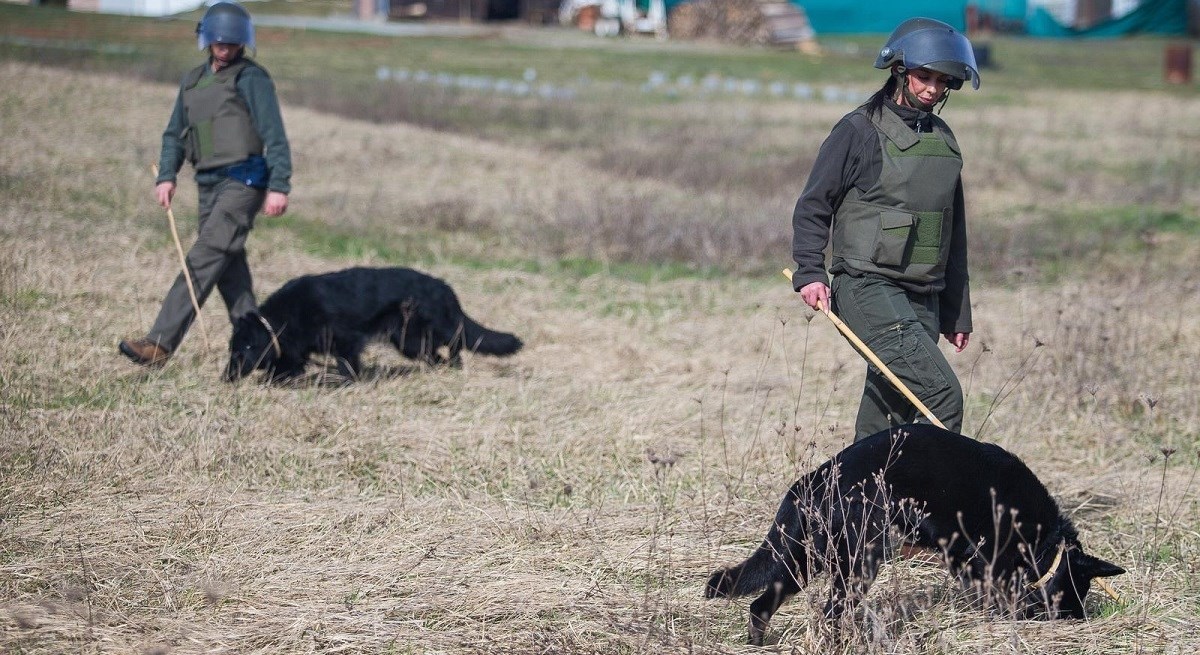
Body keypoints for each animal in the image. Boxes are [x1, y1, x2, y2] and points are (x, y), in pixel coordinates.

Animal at [225, 262, 520, 379]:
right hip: (410, 342)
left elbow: (347, 365)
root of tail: (444, 287)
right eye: (232, 350)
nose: (226, 378)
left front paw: (348, 381)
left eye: (246, 348)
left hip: (417, 335)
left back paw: (456, 365)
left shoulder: (346, 340)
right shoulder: (300, 346)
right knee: (438, 353)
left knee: (457, 340)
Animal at [700, 422, 1123, 643]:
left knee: (761, 604)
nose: (1078, 621)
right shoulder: (982, 558)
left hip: (804, 560)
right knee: (832, 610)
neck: (1044, 544)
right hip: (858, 561)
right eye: (1075, 593)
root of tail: (818, 478)